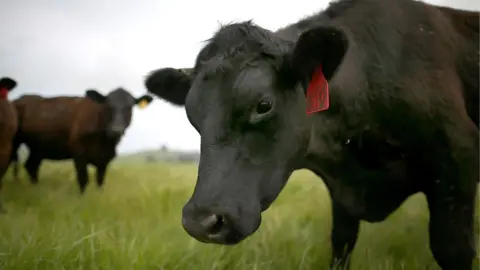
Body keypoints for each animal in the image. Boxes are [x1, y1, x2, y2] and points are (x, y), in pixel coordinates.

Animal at [10, 88, 152, 192]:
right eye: (108, 106)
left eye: (129, 107)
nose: (116, 130)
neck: (104, 142)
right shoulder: (79, 153)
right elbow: (83, 179)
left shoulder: (105, 159)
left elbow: (100, 181)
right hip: (15, 143)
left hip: (38, 148)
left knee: (31, 166)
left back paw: (35, 188)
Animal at [144, 1, 478, 268]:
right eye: (192, 114)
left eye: (263, 105)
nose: (201, 221)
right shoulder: (343, 196)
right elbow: (341, 245)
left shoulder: (458, 162)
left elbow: (452, 250)